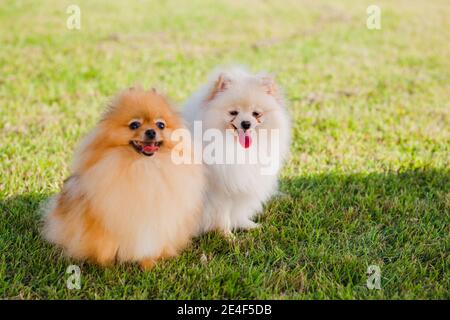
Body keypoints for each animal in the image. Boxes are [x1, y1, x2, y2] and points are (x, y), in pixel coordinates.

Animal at [42, 86, 204, 268]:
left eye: (160, 125)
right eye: (134, 125)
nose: (151, 132)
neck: (144, 167)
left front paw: (148, 263)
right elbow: (105, 246)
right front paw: (107, 265)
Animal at [184, 67, 292, 235]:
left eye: (256, 113)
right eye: (233, 112)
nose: (246, 123)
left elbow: (239, 211)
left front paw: (247, 225)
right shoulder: (219, 192)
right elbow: (222, 216)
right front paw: (227, 236)